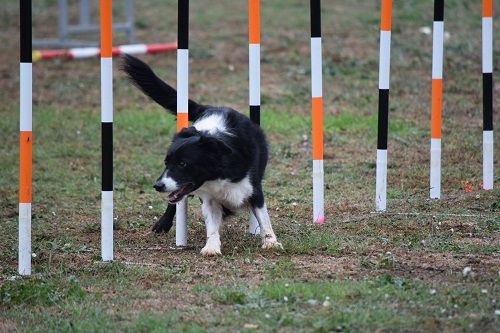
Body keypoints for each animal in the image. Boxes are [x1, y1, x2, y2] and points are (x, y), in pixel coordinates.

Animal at [122, 55, 282, 255]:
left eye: (183, 164)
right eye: (166, 163)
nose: (157, 186)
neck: (218, 173)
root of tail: (210, 108)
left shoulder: (253, 188)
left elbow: (263, 216)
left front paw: (271, 242)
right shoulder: (208, 198)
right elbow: (211, 223)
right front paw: (211, 247)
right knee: (174, 202)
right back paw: (163, 224)